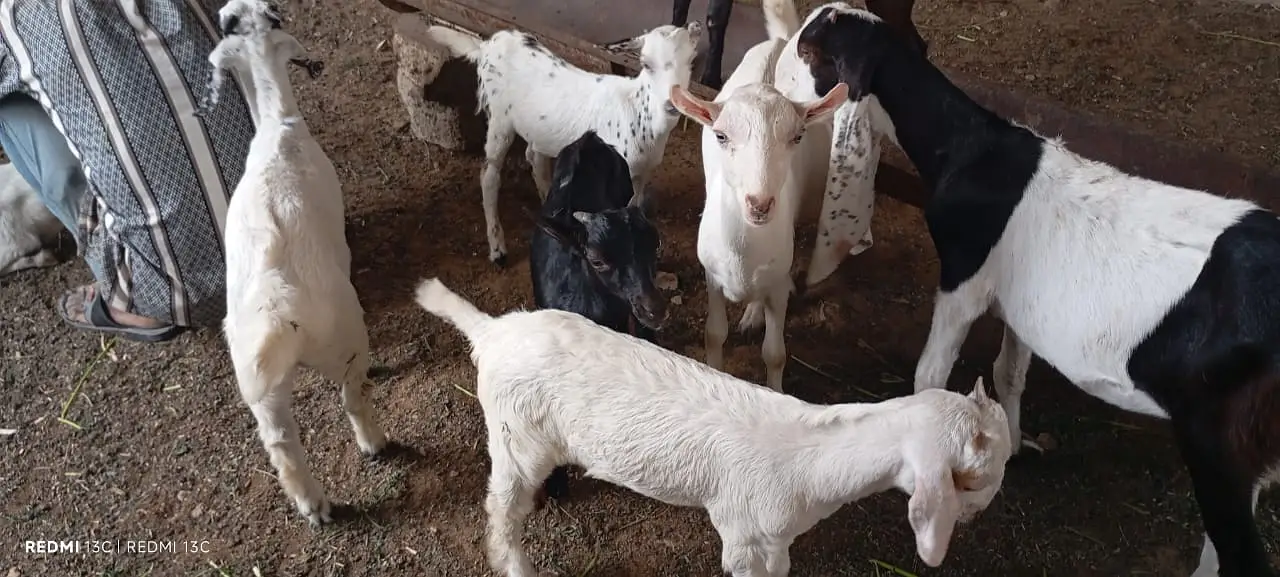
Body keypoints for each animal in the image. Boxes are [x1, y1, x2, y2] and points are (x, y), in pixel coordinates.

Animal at [203, 0, 387, 525]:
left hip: (260, 390)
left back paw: (313, 504)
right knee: (353, 398)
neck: (276, 123)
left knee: (282, 444)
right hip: (345, 339)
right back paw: (375, 444)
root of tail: (277, 311)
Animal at [415, 276, 1013, 577]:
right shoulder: (742, 535)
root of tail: (492, 331)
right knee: (502, 509)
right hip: (516, 439)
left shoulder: (775, 539)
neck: (813, 457)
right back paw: (516, 565)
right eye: (977, 477)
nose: (983, 513)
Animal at [426, 23, 701, 266]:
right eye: (646, 64)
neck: (638, 109)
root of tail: (487, 45)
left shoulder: (642, 174)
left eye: (691, 62)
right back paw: (497, 249)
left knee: (533, 156)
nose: (672, 104)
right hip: (499, 117)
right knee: (489, 174)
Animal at [669, 21, 846, 391]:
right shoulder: (712, 276)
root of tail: (780, 42)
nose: (760, 204)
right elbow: (714, 334)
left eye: (797, 136)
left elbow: (775, 354)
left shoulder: (777, 284)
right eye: (721, 136)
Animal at [798, 7, 1280, 576]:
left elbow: (930, 374)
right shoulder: (1020, 304)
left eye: (810, 53)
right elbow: (1009, 370)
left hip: (1219, 443)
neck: (973, 150)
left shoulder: (964, 278)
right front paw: (1014, 446)